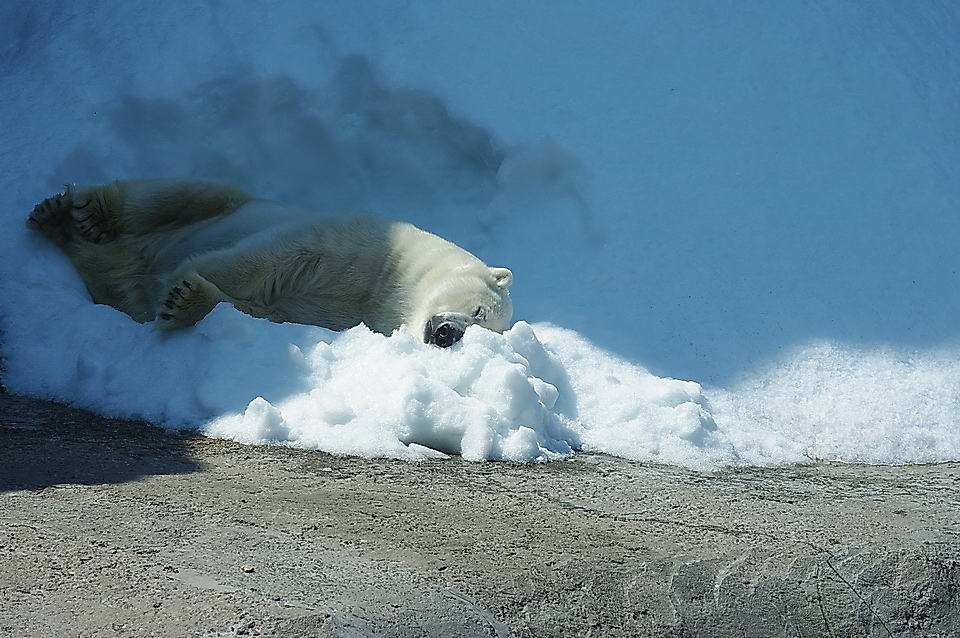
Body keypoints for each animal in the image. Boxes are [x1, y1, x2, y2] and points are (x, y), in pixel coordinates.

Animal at [26, 178, 512, 348]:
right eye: (478, 310)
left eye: (487, 331)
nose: (448, 335)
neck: (384, 285)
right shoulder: (356, 242)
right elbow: (270, 258)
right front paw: (183, 278)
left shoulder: (330, 315)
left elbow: (265, 312)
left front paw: (184, 299)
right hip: (232, 201)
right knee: (171, 195)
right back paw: (78, 210)